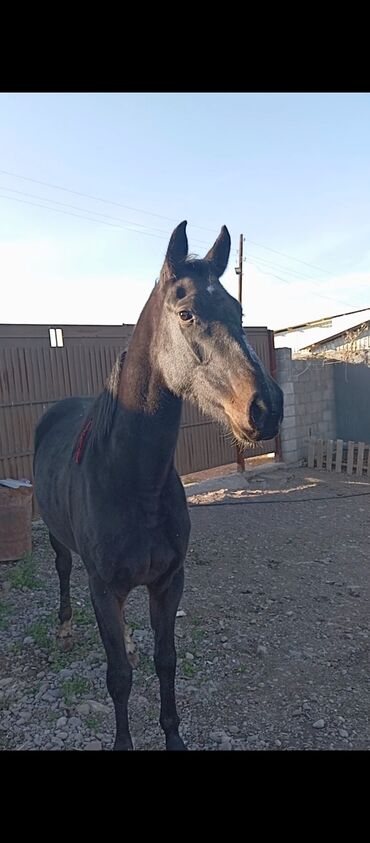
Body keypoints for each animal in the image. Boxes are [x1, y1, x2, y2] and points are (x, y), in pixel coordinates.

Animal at [34, 221, 284, 748]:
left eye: (238, 311)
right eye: (186, 313)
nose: (266, 407)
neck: (131, 480)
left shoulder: (169, 582)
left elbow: (165, 663)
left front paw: (174, 738)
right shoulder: (103, 588)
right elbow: (120, 678)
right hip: (60, 543)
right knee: (63, 570)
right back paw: (64, 630)